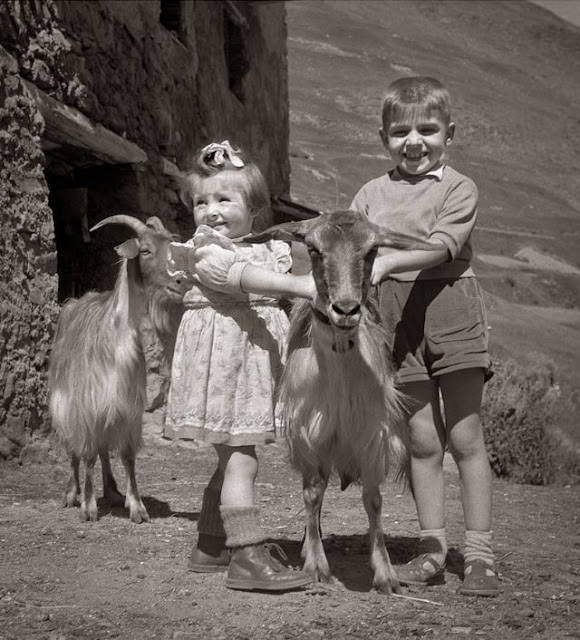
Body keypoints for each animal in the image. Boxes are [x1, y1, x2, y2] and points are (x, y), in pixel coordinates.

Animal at [49, 215, 187, 524]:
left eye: (172, 247)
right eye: (145, 250)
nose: (180, 280)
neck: (116, 340)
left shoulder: (127, 408)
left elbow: (126, 456)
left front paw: (136, 505)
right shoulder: (87, 405)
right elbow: (87, 454)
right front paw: (88, 507)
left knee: (102, 448)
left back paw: (112, 490)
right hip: (64, 403)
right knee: (74, 449)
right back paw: (71, 493)